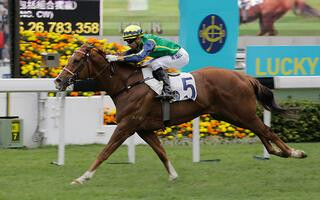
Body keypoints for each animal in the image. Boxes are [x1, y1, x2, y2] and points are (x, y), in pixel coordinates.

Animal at [54, 43, 308, 184]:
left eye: (77, 60)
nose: (58, 81)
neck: (127, 84)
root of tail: (243, 76)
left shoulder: (127, 125)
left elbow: (105, 152)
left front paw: (82, 178)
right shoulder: (144, 129)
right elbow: (161, 152)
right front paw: (174, 176)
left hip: (241, 113)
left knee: (266, 130)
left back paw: (294, 152)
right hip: (231, 116)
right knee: (263, 133)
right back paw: (280, 153)